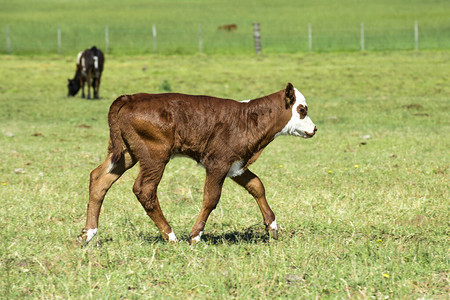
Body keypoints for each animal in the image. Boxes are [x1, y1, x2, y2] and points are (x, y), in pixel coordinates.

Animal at [77, 83, 316, 245]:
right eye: (302, 109)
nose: (314, 129)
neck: (248, 118)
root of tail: (131, 97)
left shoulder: (236, 165)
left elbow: (257, 186)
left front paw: (272, 227)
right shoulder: (218, 163)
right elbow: (211, 198)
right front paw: (195, 236)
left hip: (125, 153)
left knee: (99, 179)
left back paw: (87, 234)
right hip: (155, 156)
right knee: (144, 189)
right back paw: (171, 236)